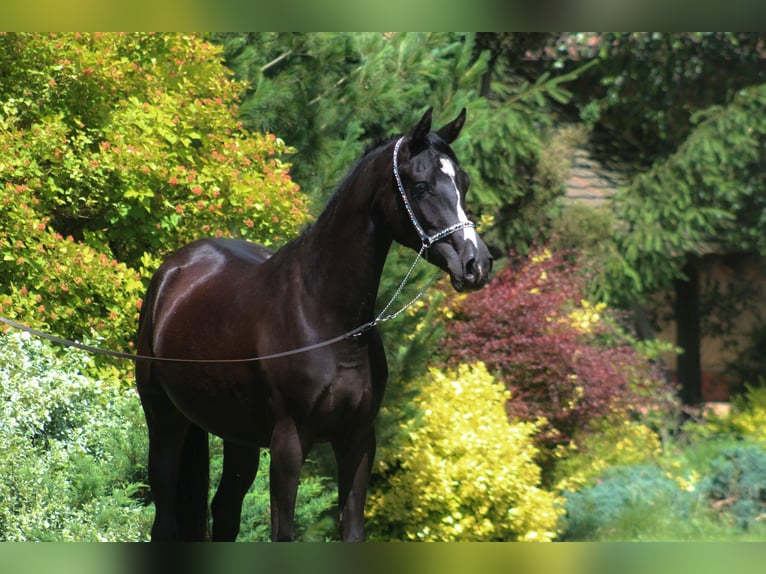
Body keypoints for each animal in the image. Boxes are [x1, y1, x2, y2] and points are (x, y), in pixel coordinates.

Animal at [135, 108, 496, 544]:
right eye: (422, 185)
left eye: (464, 182)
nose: (476, 264)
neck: (327, 316)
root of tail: (174, 270)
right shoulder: (289, 442)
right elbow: (283, 533)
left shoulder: (358, 439)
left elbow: (352, 531)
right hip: (164, 419)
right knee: (165, 519)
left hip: (237, 435)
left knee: (224, 512)